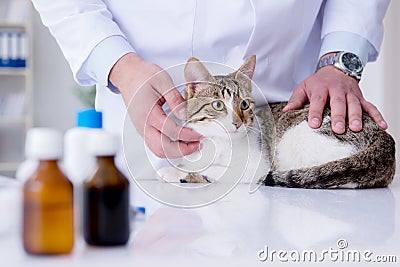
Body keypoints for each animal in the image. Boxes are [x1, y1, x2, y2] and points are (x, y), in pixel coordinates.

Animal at [155, 55, 394, 189]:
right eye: (218, 105)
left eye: (244, 104)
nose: (237, 123)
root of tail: (386, 141)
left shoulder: (256, 167)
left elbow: (214, 171)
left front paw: (175, 173)